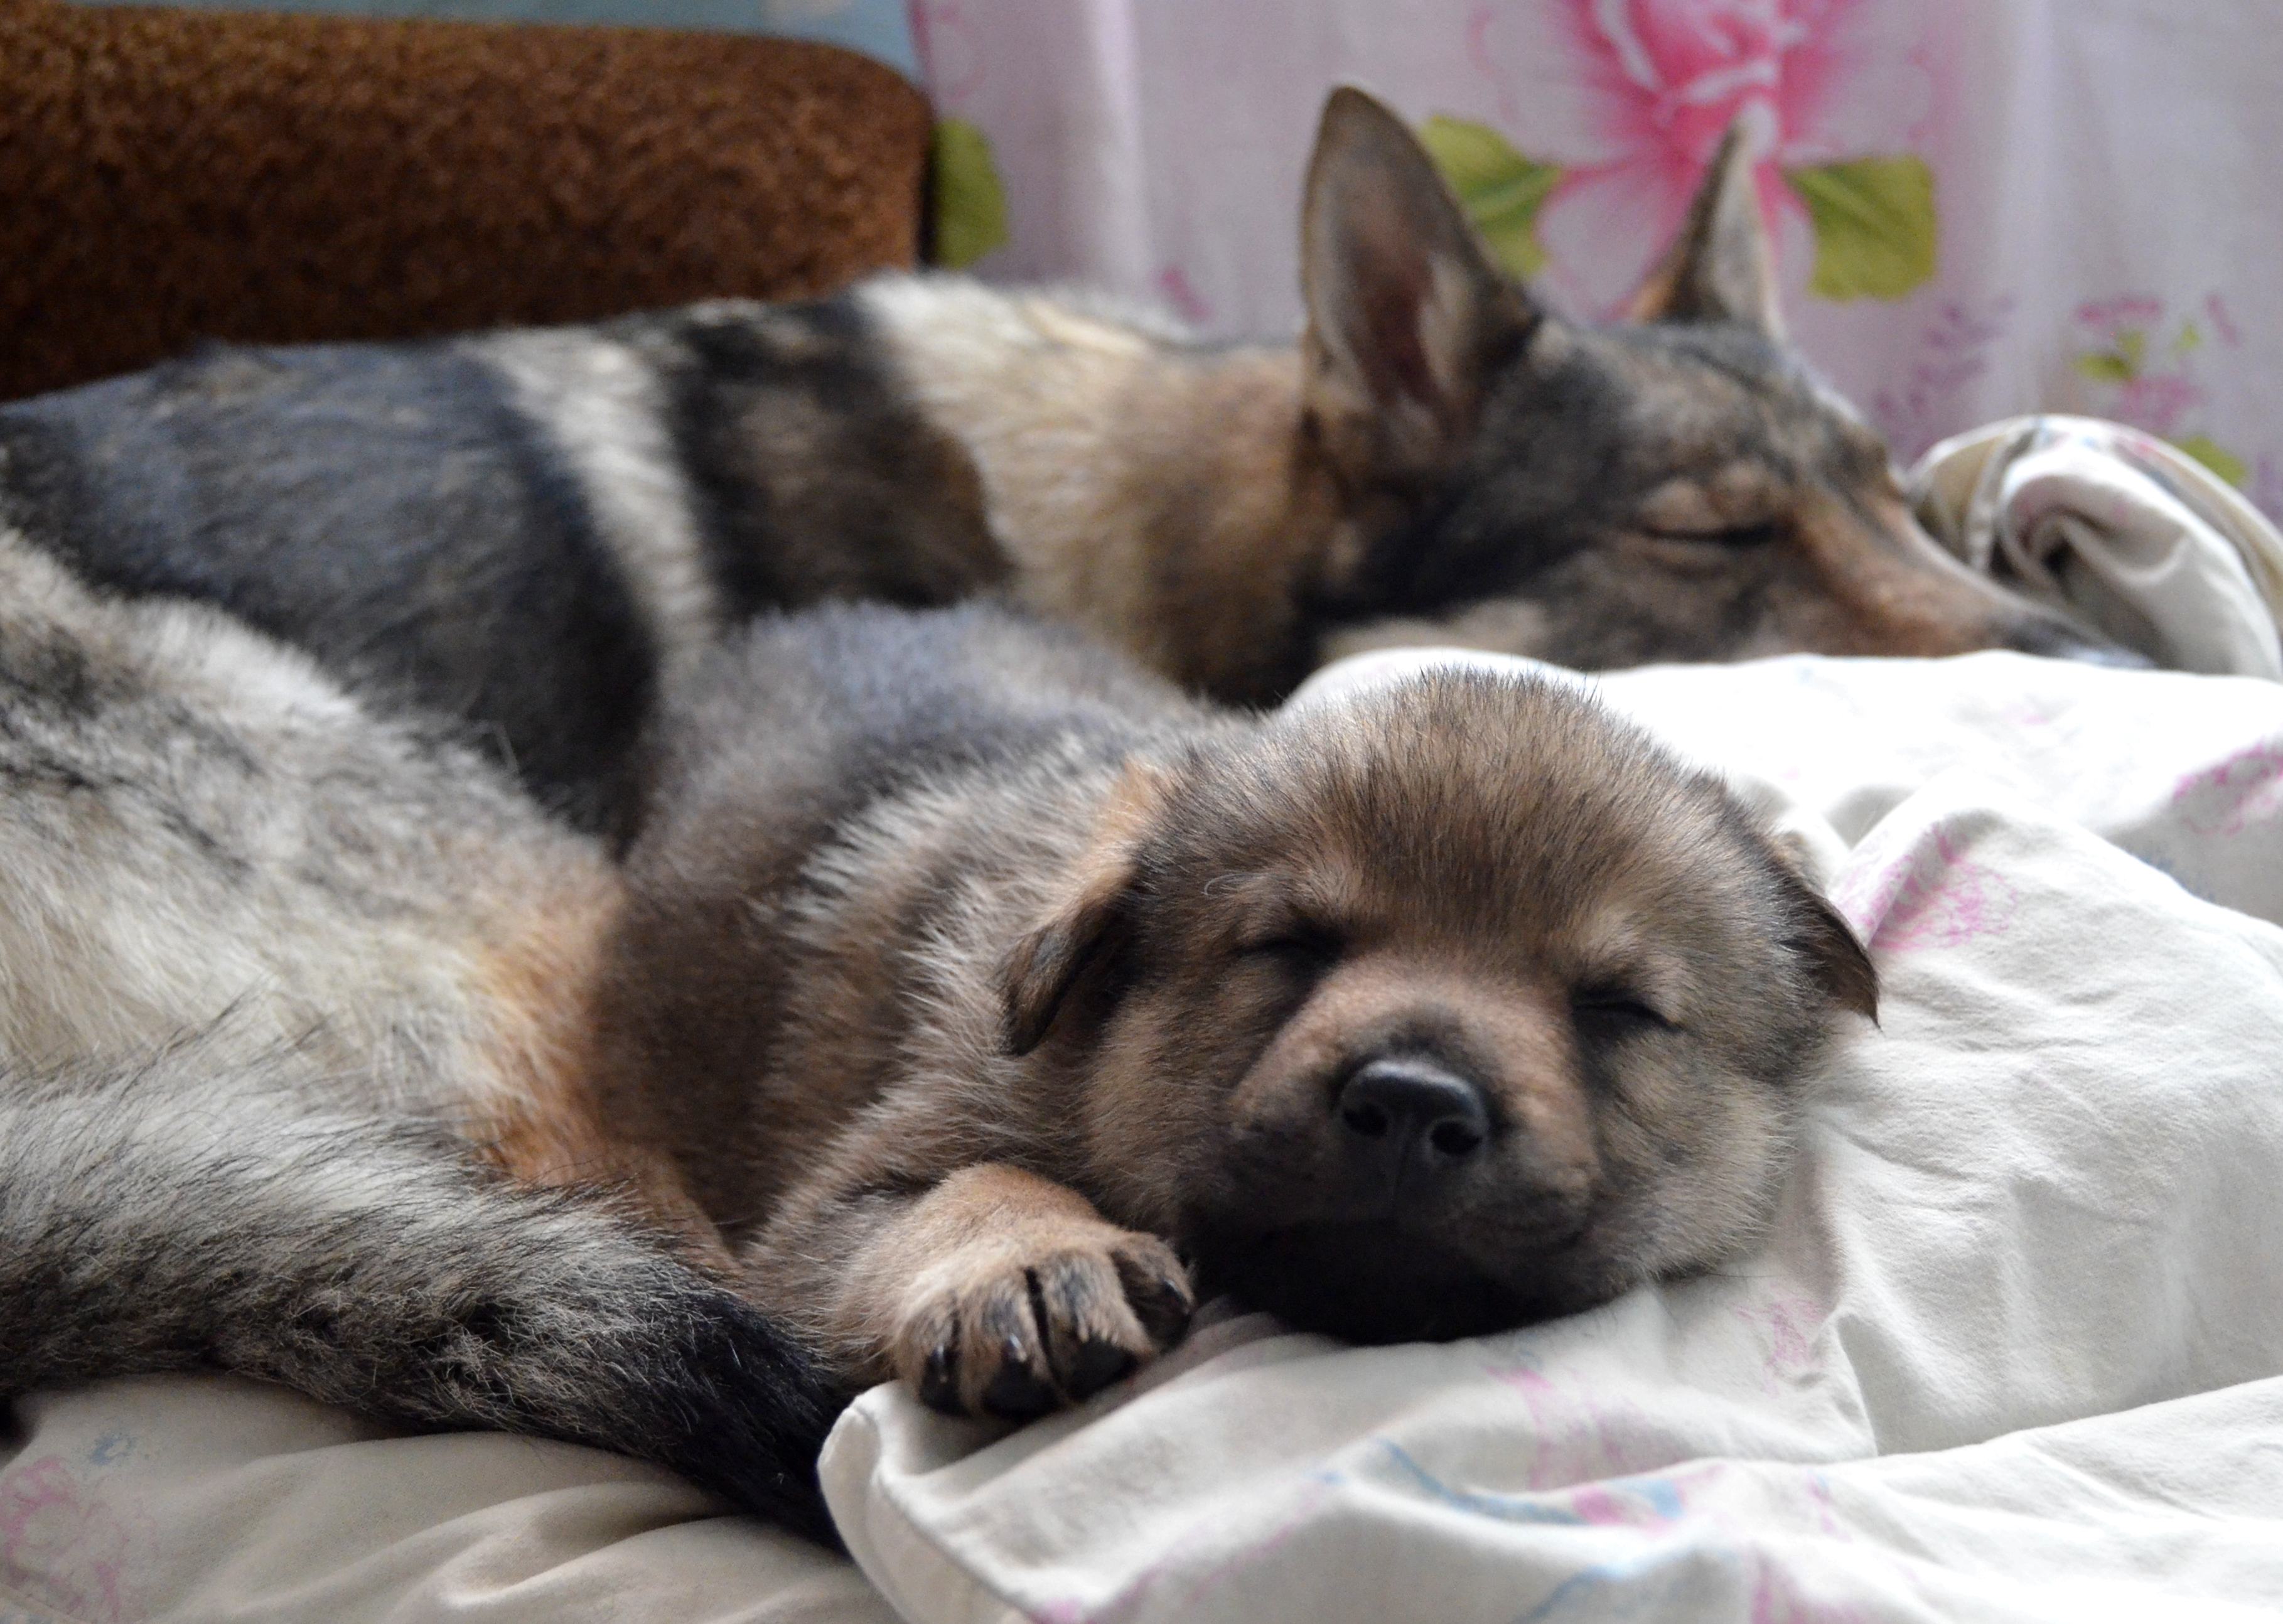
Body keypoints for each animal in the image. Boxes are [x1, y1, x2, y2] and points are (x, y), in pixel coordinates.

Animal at [0, 562, 1872, 1513]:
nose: (1412, 1104)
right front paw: (1028, 1264)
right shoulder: (849, 1191)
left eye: (1614, 1009)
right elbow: (966, 1184)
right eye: (1284, 946)